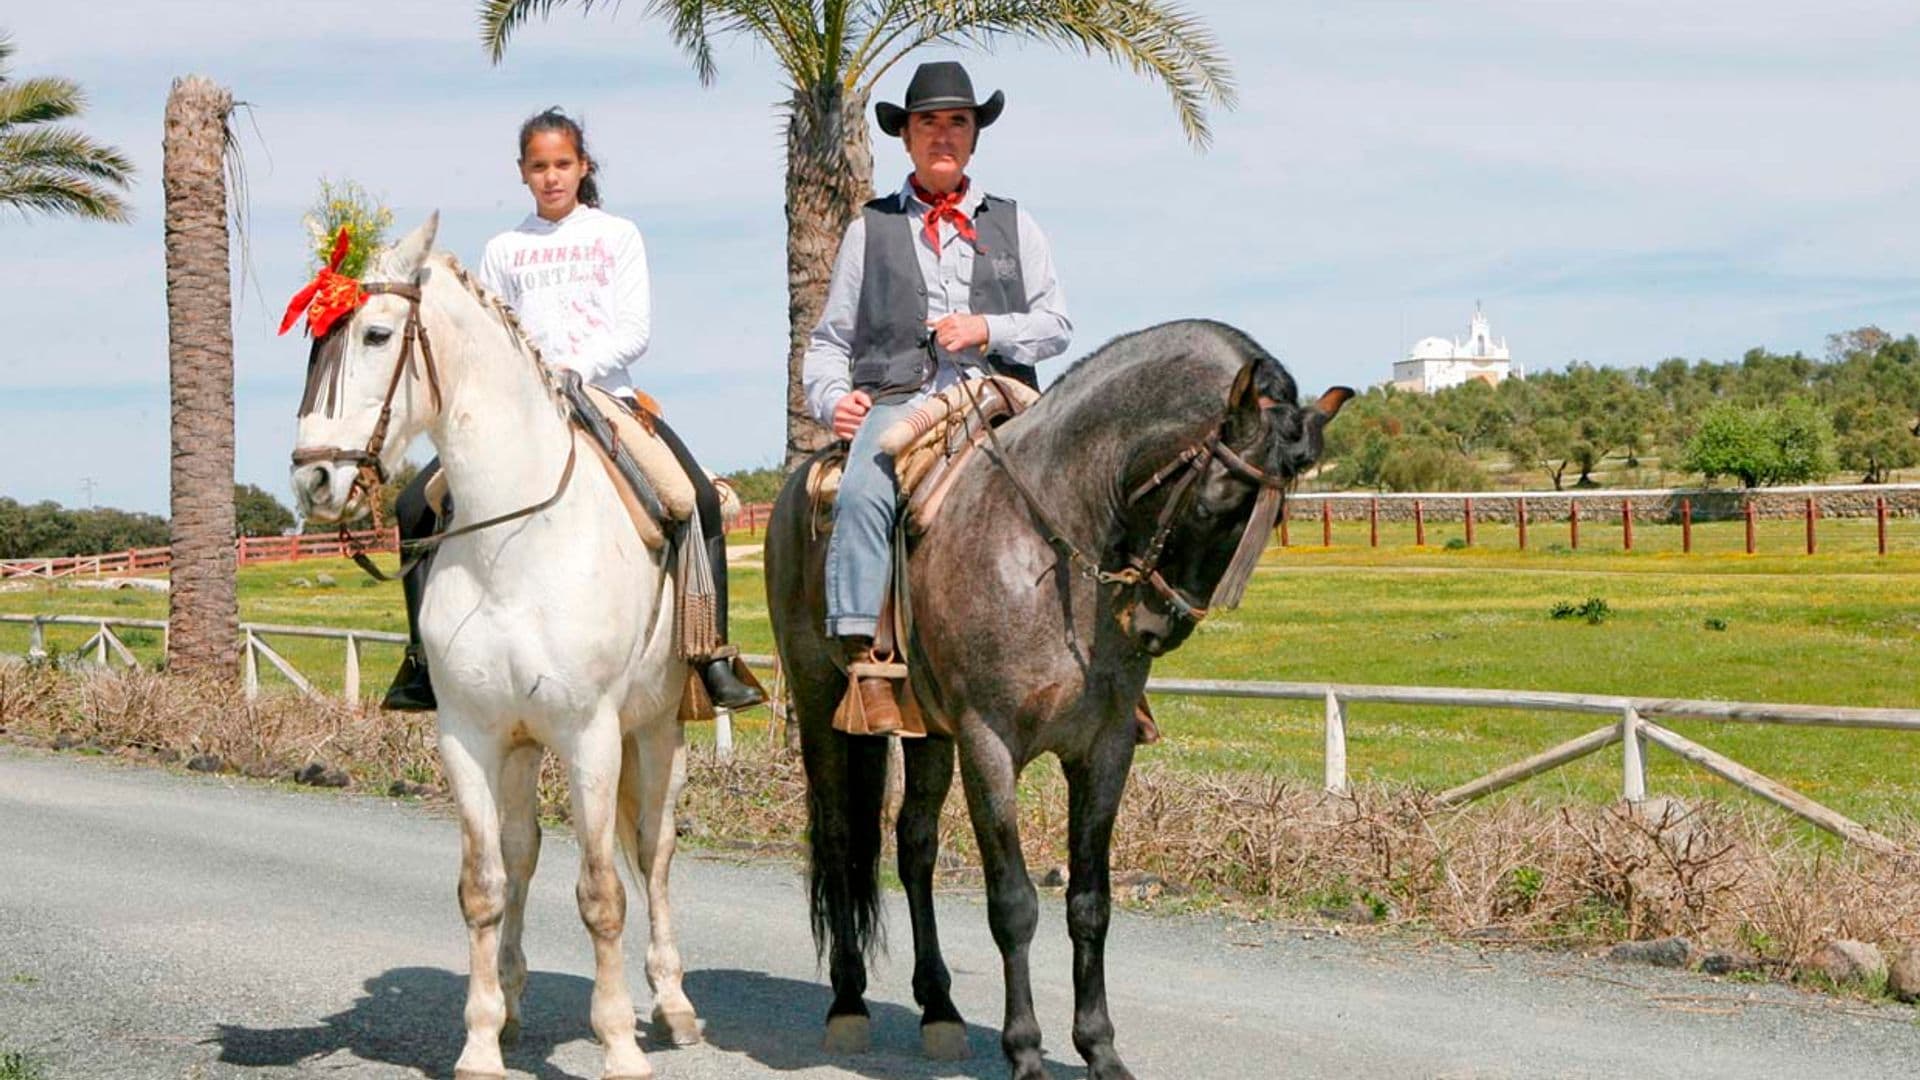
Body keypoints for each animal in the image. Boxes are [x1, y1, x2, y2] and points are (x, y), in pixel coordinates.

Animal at [291, 216, 698, 1076]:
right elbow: (484, 885)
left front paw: (619, 1044)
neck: (514, 538)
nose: (314, 481)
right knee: (523, 851)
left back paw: (674, 1006)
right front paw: (479, 1041)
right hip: (520, 745)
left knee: (652, 853)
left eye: (376, 335)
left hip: (655, 731)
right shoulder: (470, 737)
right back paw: (510, 1004)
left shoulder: (590, 737)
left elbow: (603, 893)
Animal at [764, 319, 1351, 1076]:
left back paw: (939, 1008)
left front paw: (1099, 1046)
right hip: (821, 706)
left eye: (1273, 522)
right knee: (840, 838)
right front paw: (1025, 1050)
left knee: (914, 846)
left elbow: (1089, 902)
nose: (1157, 624)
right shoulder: (989, 745)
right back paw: (847, 1002)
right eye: (1217, 500)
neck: (1051, 553)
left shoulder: (1104, 750)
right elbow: (1013, 903)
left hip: (929, 735)